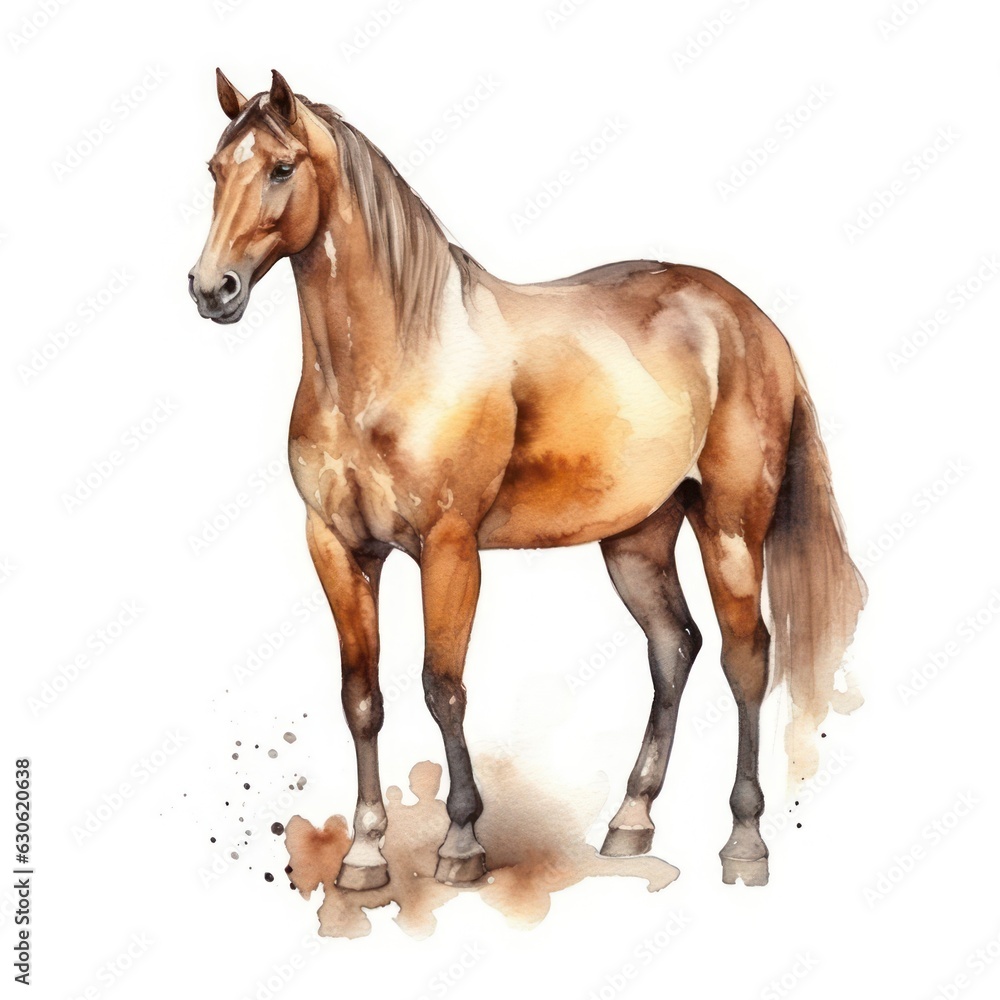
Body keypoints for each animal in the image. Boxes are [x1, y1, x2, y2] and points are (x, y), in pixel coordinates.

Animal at [189, 69, 866, 890]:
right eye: (214, 170)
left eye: (282, 168)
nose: (211, 289)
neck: (394, 358)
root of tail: (752, 321)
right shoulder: (338, 549)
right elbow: (362, 698)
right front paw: (366, 854)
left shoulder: (449, 550)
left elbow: (442, 688)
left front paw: (461, 844)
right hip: (637, 540)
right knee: (674, 648)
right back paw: (630, 822)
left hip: (732, 529)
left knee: (747, 660)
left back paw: (744, 843)